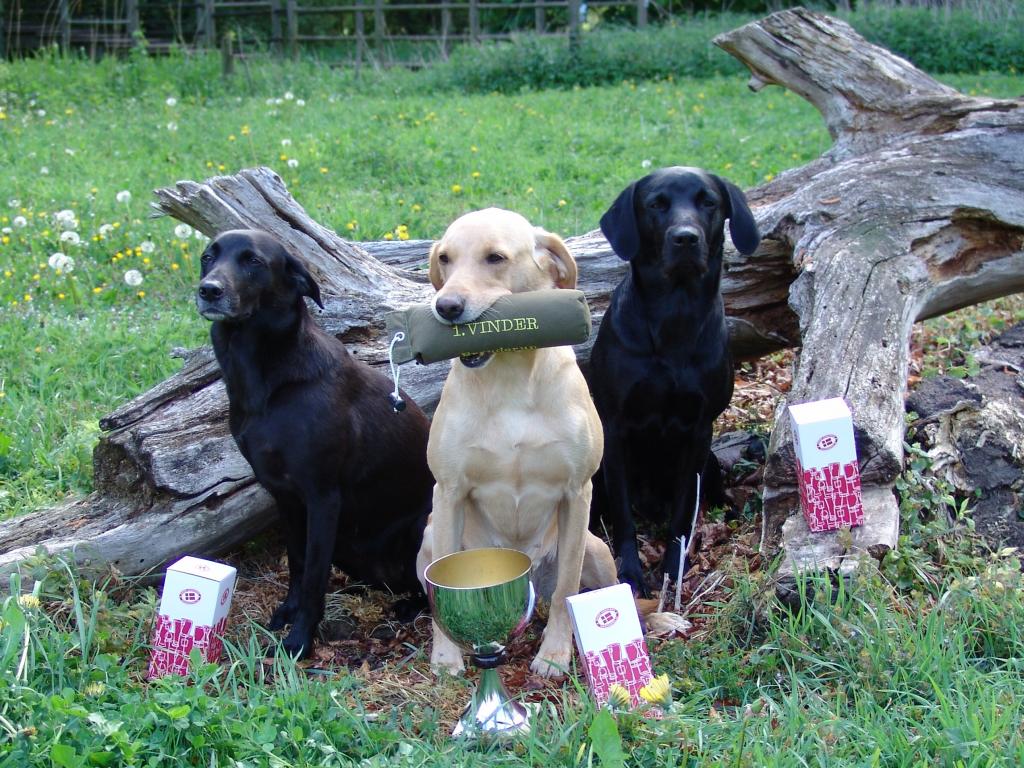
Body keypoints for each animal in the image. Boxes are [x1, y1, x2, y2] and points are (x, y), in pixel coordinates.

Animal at [196, 229, 434, 658]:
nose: (209, 290)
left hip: (422, 526)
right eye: (209, 257)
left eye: (254, 262)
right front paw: (287, 613)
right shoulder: (286, 497)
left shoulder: (323, 498)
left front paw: (299, 640)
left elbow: (312, 578)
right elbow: (297, 563)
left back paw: (409, 605)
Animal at [415, 208, 618, 678]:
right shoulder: (447, 492)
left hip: (596, 548)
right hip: (429, 534)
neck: (508, 378)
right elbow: (439, 598)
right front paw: (446, 656)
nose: (446, 307)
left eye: (496, 258)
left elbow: (567, 590)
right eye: (445, 258)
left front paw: (556, 654)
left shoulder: (577, 492)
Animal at [588, 167, 760, 595]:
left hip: (709, 459)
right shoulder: (614, 427)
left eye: (708, 202)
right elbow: (623, 515)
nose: (686, 238)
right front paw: (630, 573)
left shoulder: (699, 429)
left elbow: (683, 513)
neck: (674, 320)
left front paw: (672, 571)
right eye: (656, 204)